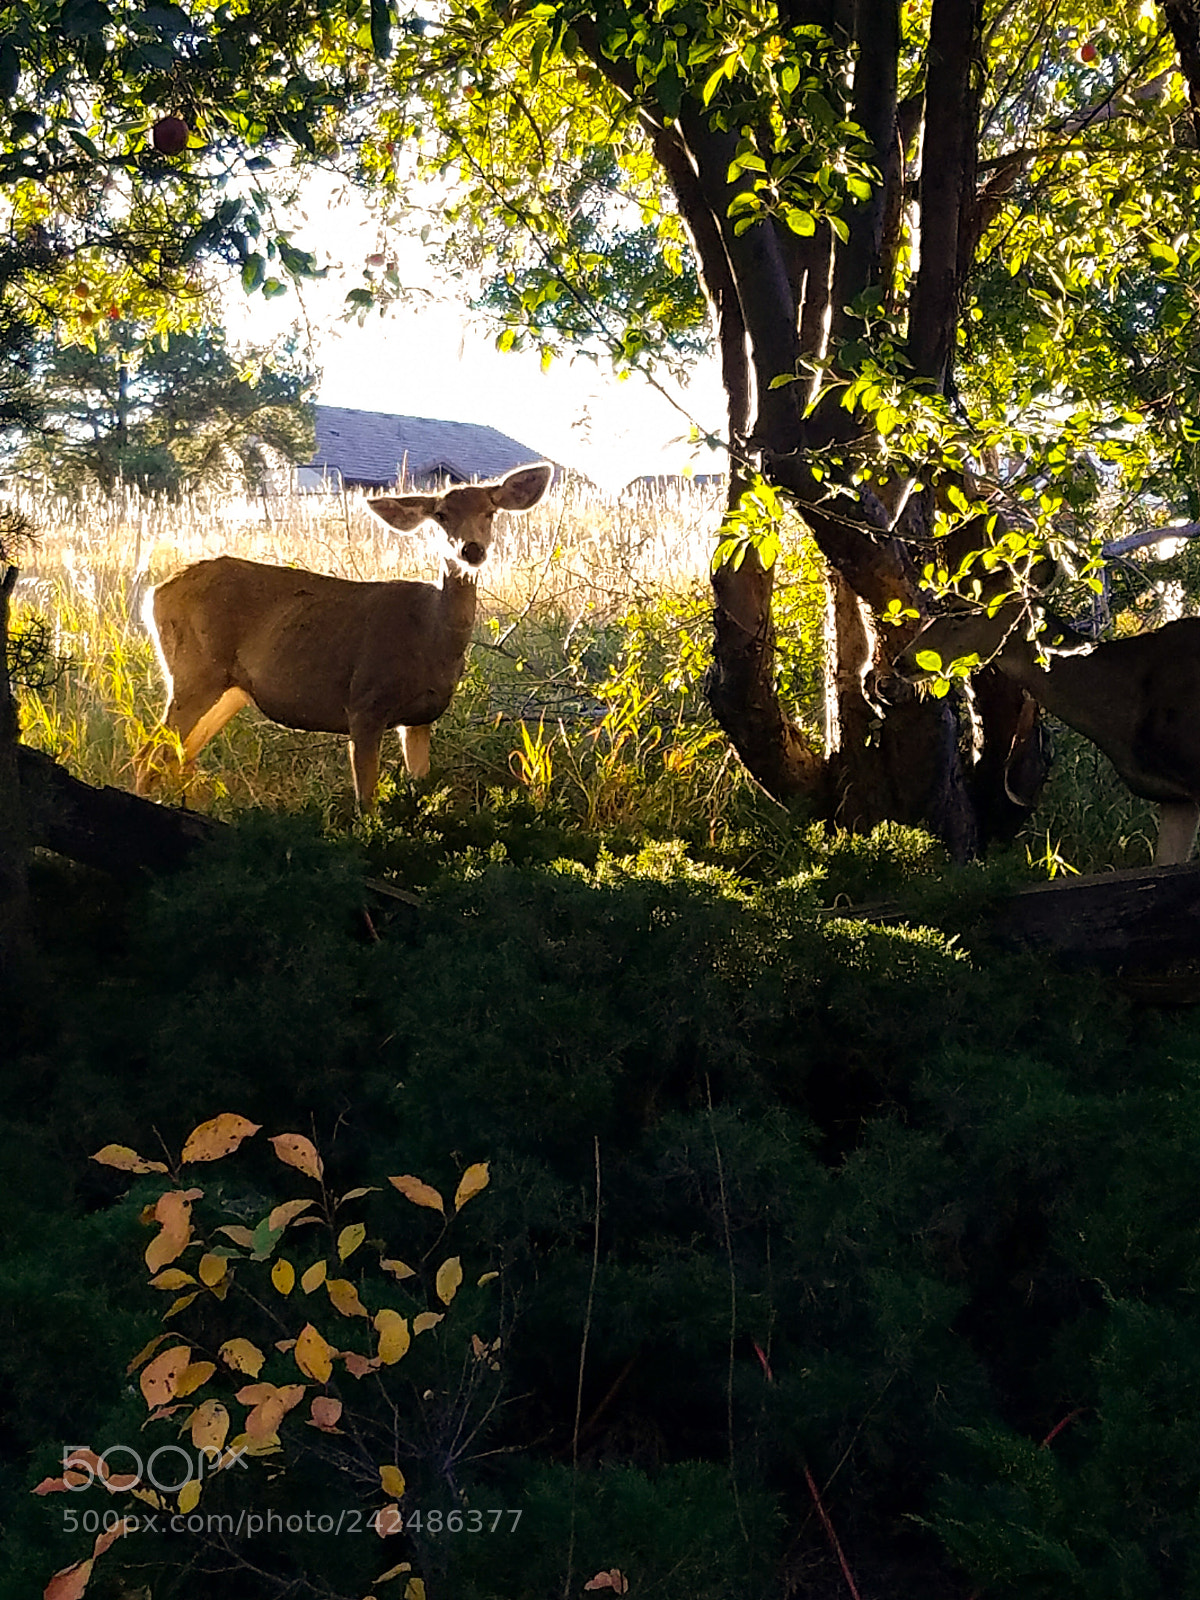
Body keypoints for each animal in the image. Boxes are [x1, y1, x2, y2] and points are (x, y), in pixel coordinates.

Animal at [135, 461, 554, 809]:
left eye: (490, 511)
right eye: (441, 515)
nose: (471, 550)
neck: (431, 637)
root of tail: (154, 594)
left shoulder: (420, 718)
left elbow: (420, 788)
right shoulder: (365, 703)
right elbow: (366, 802)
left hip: (229, 689)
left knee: (180, 755)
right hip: (194, 672)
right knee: (149, 755)